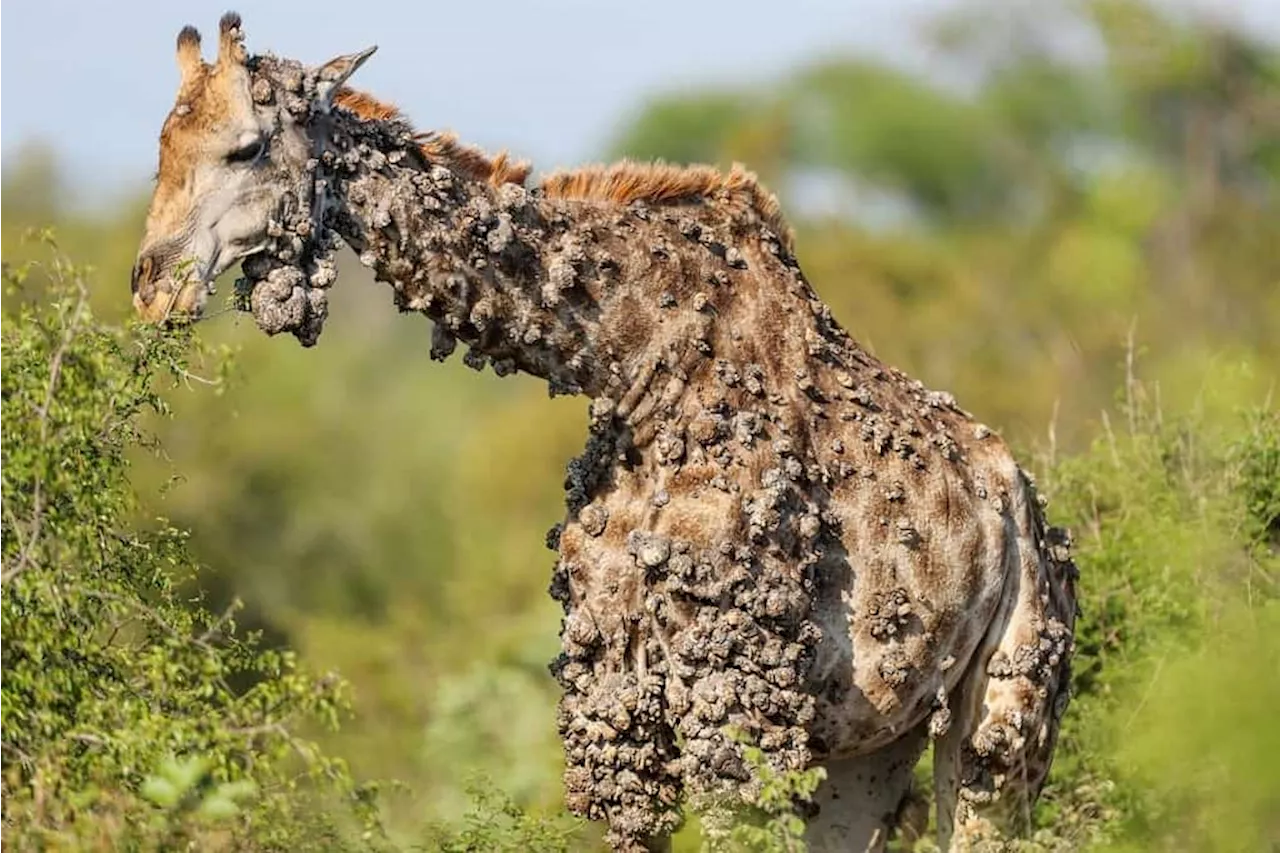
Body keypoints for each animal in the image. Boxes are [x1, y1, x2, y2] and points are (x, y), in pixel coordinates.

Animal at [135, 14, 1080, 850]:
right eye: (162, 145)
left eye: (247, 147)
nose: (152, 286)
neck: (633, 366)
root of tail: (1023, 508)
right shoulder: (611, 690)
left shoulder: (736, 697)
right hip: (870, 741)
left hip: (1004, 725)